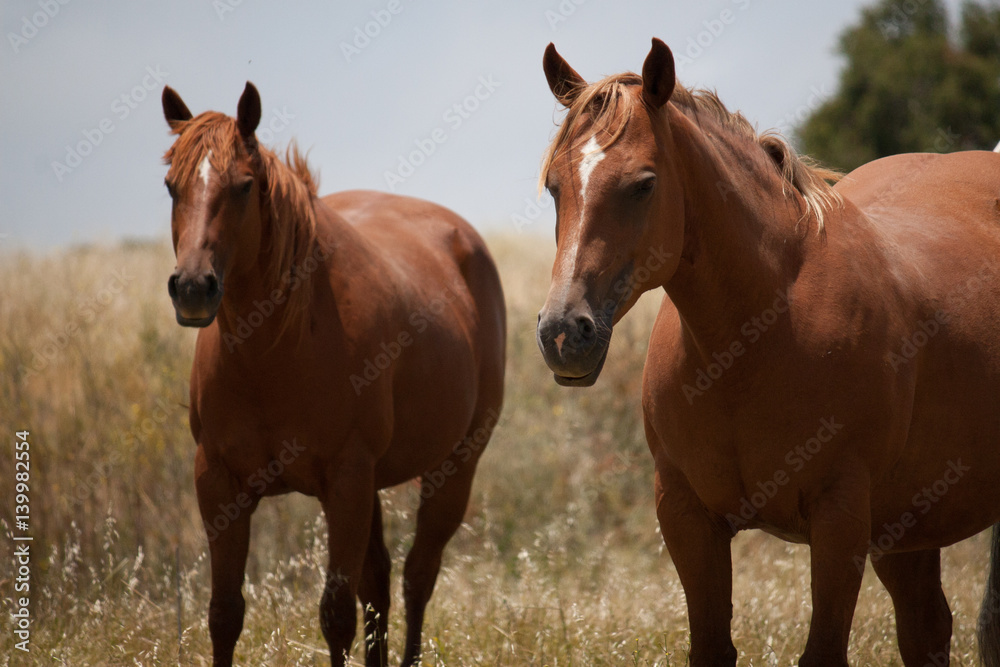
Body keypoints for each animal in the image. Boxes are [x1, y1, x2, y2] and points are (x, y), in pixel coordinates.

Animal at [160, 82, 505, 667]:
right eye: (170, 186)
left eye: (244, 186)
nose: (192, 288)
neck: (273, 353)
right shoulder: (218, 482)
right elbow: (224, 613)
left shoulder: (345, 480)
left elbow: (336, 614)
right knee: (381, 583)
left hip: (454, 466)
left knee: (417, 576)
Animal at [536, 38, 1000, 666]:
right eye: (554, 186)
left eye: (643, 184)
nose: (564, 332)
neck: (754, 336)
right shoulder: (686, 516)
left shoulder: (840, 520)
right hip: (907, 528)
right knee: (927, 629)